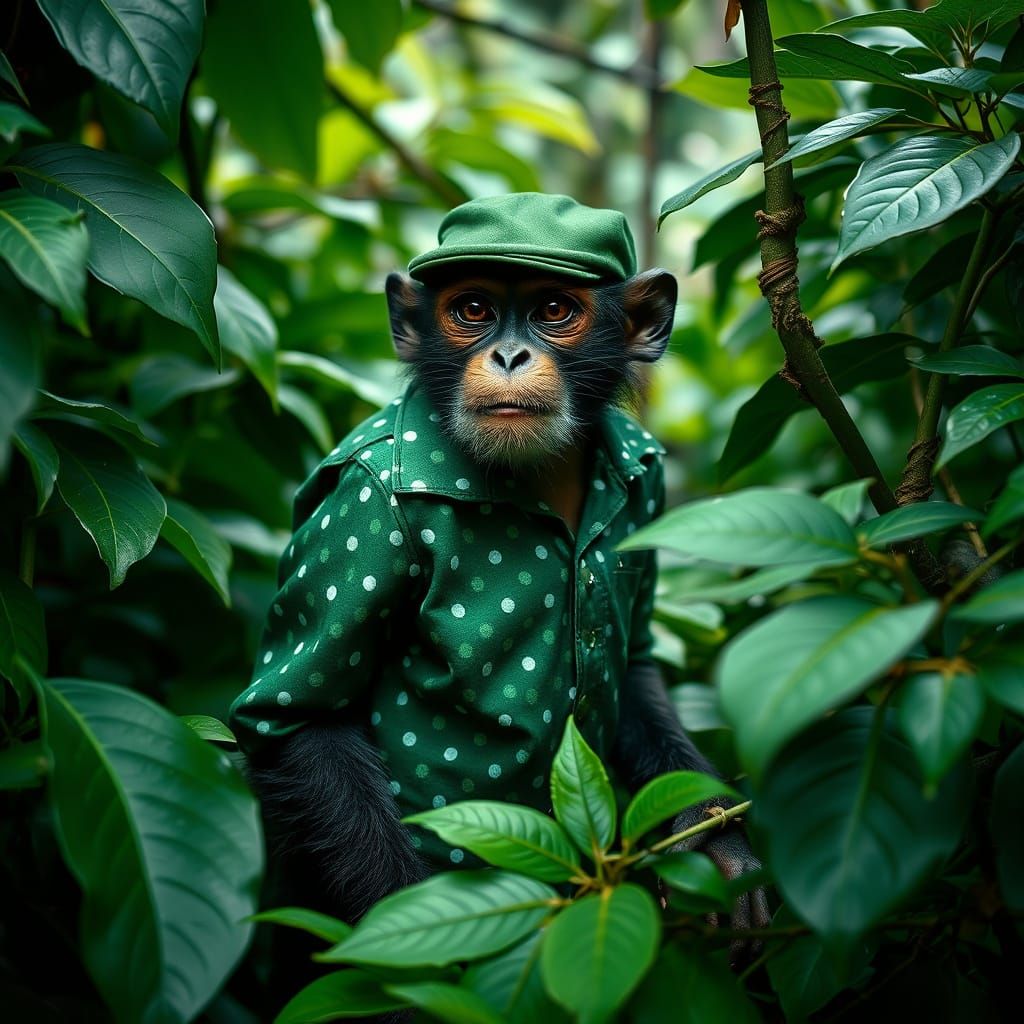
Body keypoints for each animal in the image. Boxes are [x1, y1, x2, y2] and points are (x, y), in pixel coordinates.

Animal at [229, 195, 769, 1002]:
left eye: (553, 310)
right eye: (474, 310)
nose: (509, 356)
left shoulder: (648, 483)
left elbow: (635, 669)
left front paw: (717, 844)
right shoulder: (357, 515)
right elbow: (303, 721)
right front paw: (420, 980)